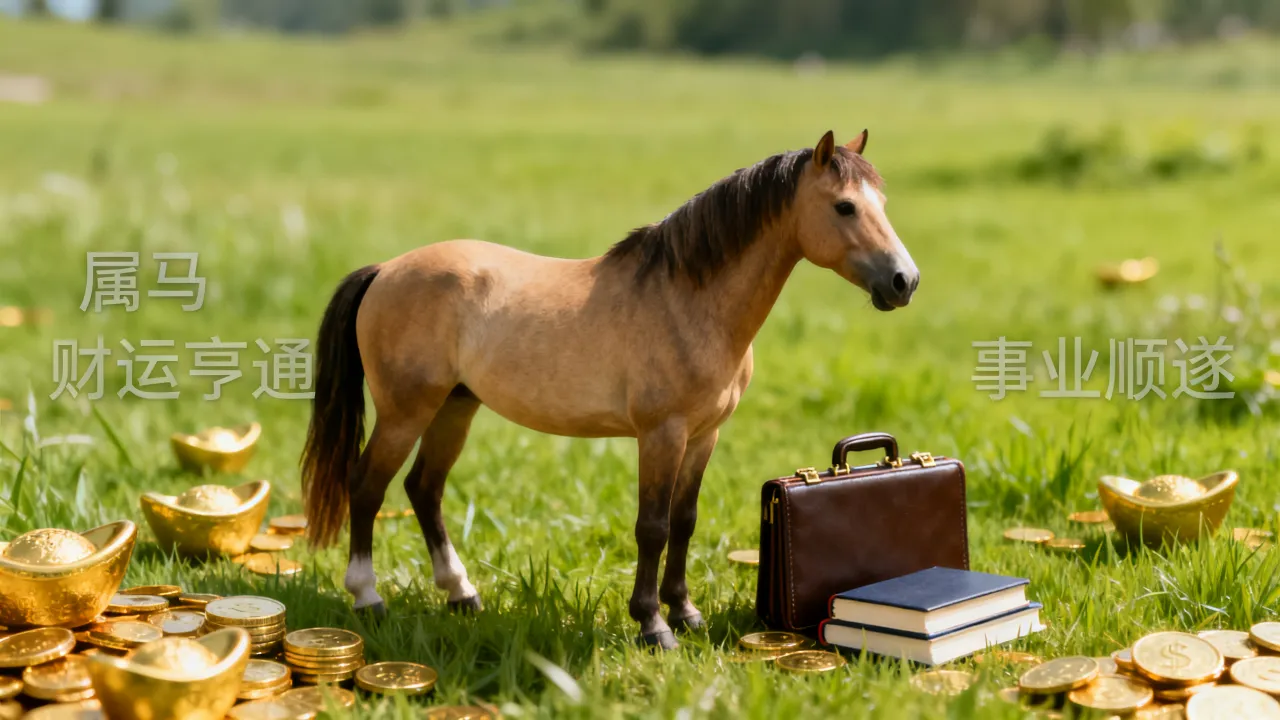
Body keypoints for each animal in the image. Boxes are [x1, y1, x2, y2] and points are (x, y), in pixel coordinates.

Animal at [300, 129, 919, 649]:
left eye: (882, 205)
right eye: (844, 206)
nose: (904, 281)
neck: (687, 300)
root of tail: (385, 270)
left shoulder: (704, 436)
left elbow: (685, 521)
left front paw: (686, 614)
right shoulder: (661, 434)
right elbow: (653, 527)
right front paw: (652, 626)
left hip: (455, 407)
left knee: (424, 489)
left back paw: (462, 594)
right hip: (406, 411)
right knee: (367, 486)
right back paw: (368, 598)